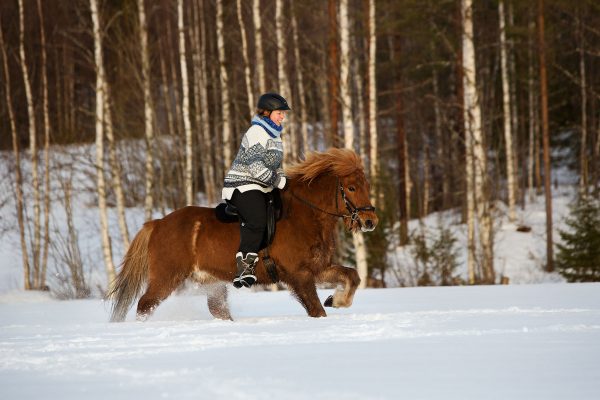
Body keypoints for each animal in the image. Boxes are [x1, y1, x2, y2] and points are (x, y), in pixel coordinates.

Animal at [108, 148, 378, 320]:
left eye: (367, 185)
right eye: (351, 187)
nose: (370, 221)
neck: (304, 216)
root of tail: (157, 223)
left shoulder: (317, 269)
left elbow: (352, 276)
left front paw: (336, 300)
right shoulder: (298, 275)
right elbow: (317, 310)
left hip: (212, 283)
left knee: (218, 311)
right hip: (167, 277)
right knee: (145, 305)